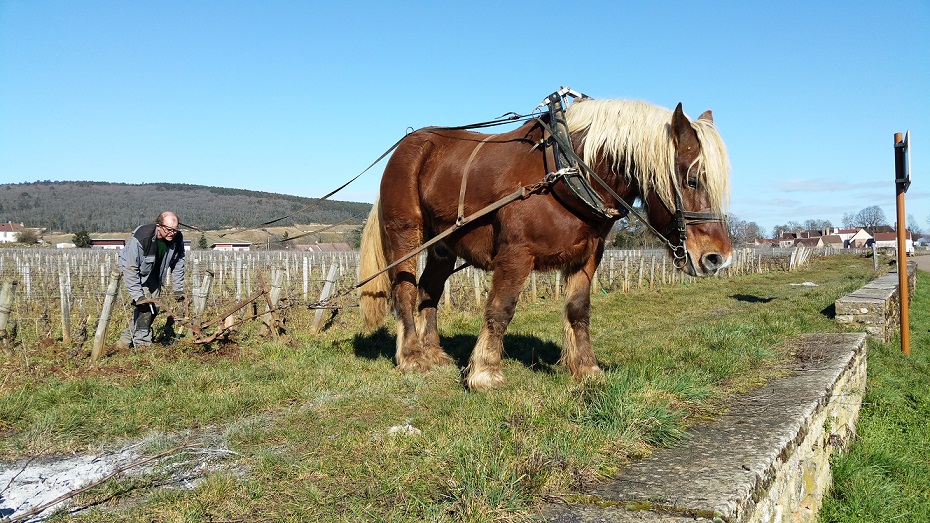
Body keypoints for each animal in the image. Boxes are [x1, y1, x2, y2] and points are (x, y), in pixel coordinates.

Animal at [358, 98, 728, 392]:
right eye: (692, 179)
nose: (717, 258)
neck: (568, 173)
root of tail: (408, 143)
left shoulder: (588, 257)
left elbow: (578, 310)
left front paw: (586, 367)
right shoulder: (515, 254)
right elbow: (500, 308)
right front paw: (485, 372)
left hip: (443, 246)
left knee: (429, 291)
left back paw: (434, 352)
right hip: (405, 233)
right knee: (405, 290)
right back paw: (412, 356)